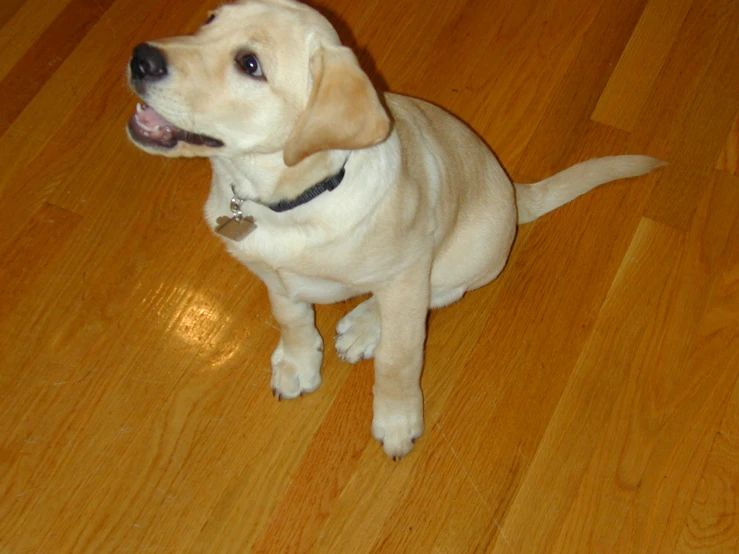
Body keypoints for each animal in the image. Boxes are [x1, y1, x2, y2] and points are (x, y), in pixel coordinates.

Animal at [127, 0, 664, 458]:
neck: (289, 200)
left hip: (465, 258)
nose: (141, 58)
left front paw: (397, 419)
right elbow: (290, 316)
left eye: (250, 63)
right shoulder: (270, 274)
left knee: (430, 298)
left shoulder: (406, 273)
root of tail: (514, 191)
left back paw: (366, 327)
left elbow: (399, 358)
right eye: (208, 20)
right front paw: (298, 362)